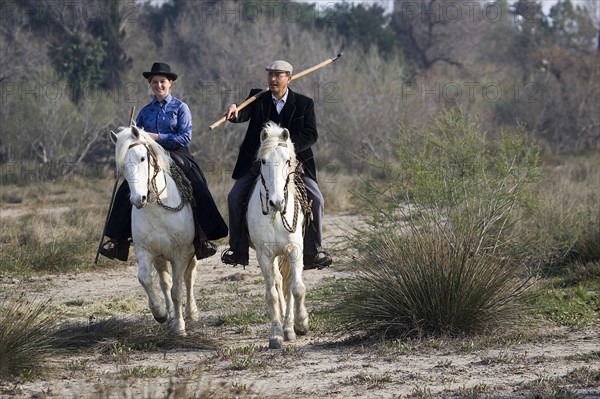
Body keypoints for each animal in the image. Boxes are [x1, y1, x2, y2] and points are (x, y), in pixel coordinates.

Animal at [110, 126, 199, 336]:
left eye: (143, 158)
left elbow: (177, 290)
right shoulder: (145, 250)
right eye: (122, 165)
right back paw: (170, 313)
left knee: (189, 277)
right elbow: (146, 279)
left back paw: (191, 313)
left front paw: (179, 327)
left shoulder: (181, 253)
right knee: (164, 282)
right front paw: (160, 314)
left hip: (191, 253)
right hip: (160, 257)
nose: (138, 199)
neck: (157, 208)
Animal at [246, 122, 310, 350]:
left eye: (287, 160)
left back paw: (290, 327)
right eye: (263, 161)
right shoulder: (264, 255)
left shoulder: (294, 251)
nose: (276, 202)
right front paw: (275, 334)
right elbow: (272, 294)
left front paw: (300, 324)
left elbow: (297, 289)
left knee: (290, 284)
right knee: (278, 282)